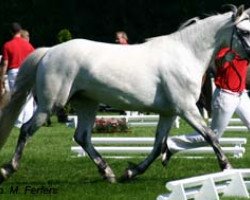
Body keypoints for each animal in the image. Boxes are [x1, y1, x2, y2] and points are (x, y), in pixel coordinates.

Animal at [0, 4, 250, 184]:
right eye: (244, 31)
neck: (186, 53)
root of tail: (49, 52)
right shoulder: (186, 108)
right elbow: (210, 135)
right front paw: (227, 168)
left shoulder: (169, 113)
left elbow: (158, 145)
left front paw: (131, 172)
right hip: (50, 105)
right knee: (27, 129)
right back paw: (8, 169)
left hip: (87, 103)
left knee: (82, 137)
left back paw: (108, 173)